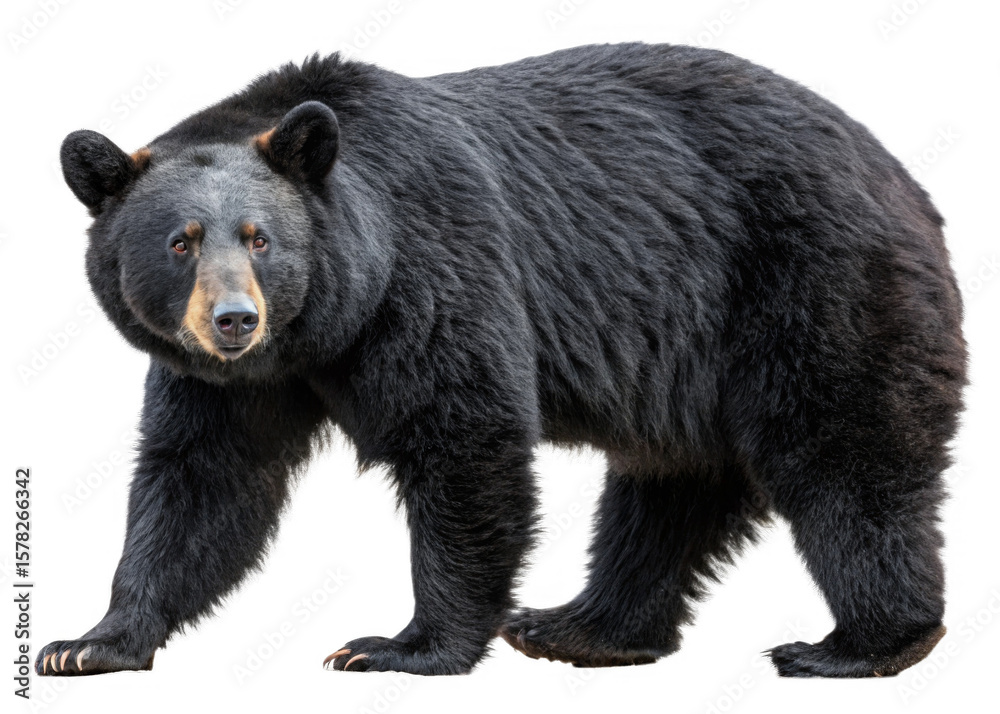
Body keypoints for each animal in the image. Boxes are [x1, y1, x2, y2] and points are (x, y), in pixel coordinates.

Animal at [37, 42, 965, 678]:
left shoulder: (435, 265)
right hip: (696, 360)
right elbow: (203, 479)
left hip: (814, 285)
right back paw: (581, 627)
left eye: (260, 238)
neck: (326, 324)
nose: (234, 319)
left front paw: (399, 645)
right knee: (671, 487)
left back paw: (860, 644)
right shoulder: (233, 381)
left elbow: (464, 438)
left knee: (846, 455)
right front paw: (89, 643)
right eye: (181, 241)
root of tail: (903, 178)